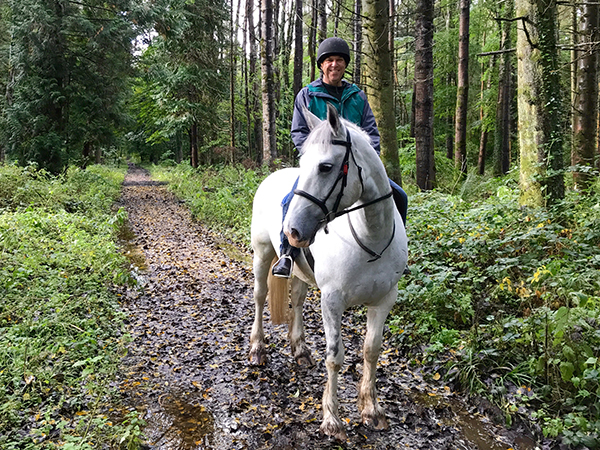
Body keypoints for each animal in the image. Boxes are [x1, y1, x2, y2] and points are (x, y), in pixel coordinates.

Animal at [248, 103, 408, 440]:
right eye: (304, 163)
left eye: (325, 167)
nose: (292, 231)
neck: (369, 238)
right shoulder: (333, 301)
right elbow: (335, 357)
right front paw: (332, 419)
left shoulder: (384, 300)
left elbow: (371, 350)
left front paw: (371, 409)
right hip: (263, 253)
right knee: (259, 295)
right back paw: (257, 350)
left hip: (301, 271)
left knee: (296, 299)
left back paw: (300, 350)